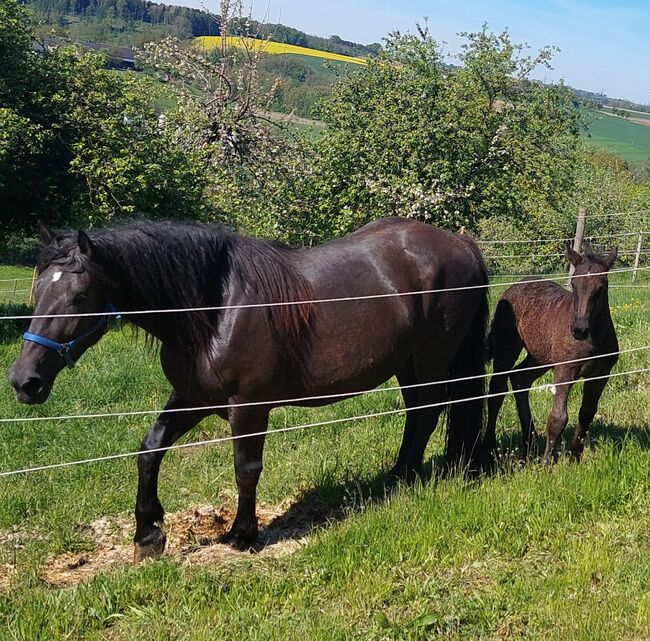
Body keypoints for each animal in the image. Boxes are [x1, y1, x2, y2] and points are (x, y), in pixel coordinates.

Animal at [8, 219, 486, 560]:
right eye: (38, 289)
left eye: (80, 297)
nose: (23, 381)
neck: (215, 309)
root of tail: (461, 243)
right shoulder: (193, 400)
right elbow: (150, 449)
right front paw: (148, 534)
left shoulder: (249, 407)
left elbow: (245, 468)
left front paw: (242, 534)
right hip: (408, 365)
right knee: (417, 414)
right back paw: (397, 475)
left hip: (430, 360)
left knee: (427, 413)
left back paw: (403, 479)